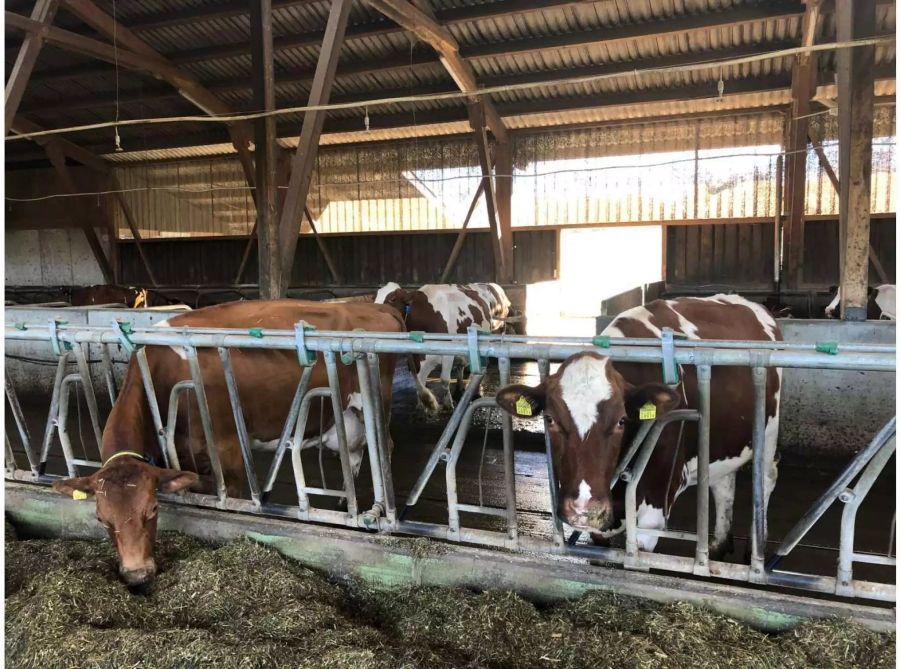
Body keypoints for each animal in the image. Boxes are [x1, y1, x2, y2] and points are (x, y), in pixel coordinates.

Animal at [49, 298, 400, 584]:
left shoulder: (226, 447)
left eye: (152, 509)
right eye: (101, 518)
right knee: (353, 452)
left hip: (374, 407)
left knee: (384, 450)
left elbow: (225, 494)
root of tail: (376, 307)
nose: (137, 574)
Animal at [374, 282, 510, 412]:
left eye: (392, 299)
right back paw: (459, 389)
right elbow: (419, 378)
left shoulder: (448, 352)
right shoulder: (415, 355)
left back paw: (475, 391)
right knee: (460, 365)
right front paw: (422, 404)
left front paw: (448, 403)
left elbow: (444, 379)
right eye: (375, 297)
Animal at [492, 296, 780, 560]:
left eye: (622, 420)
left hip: (768, 434)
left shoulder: (654, 508)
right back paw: (719, 545)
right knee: (723, 484)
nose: (584, 508)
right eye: (550, 419)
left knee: (766, 480)